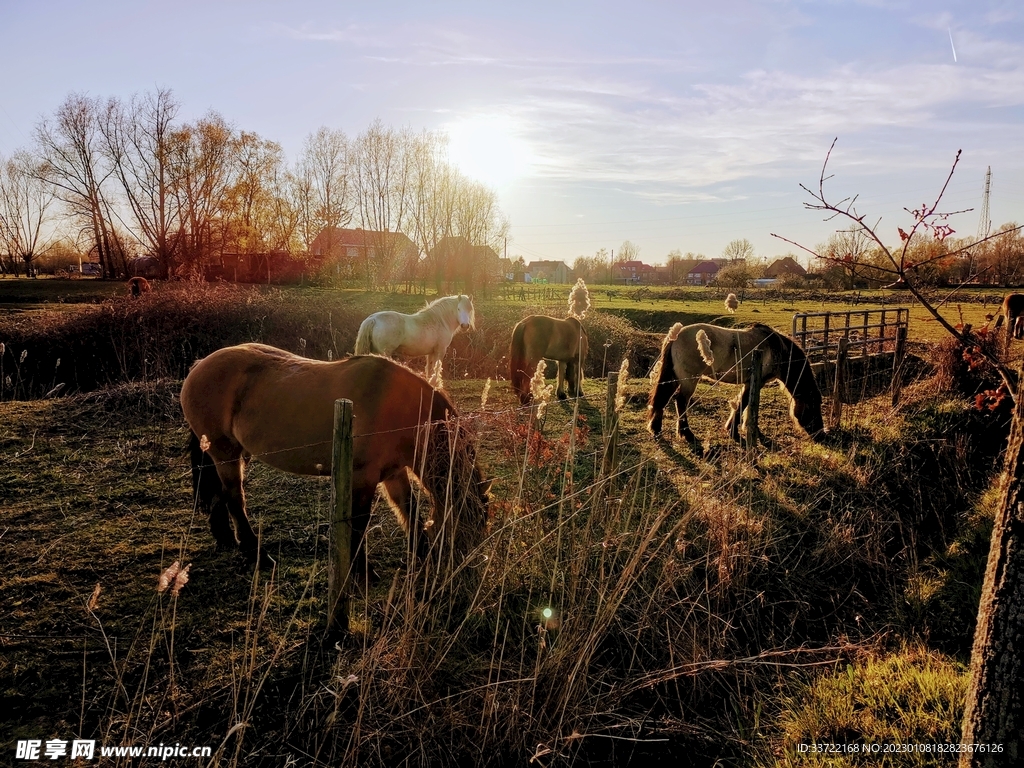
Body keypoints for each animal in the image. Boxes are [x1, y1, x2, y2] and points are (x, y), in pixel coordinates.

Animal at [180, 344, 491, 577]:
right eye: (468, 524)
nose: (466, 570)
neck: (398, 407)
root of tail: (199, 366)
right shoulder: (363, 476)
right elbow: (359, 521)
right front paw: (362, 571)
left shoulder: (394, 473)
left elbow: (410, 511)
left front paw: (424, 554)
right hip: (225, 454)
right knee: (235, 499)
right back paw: (257, 555)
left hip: (227, 455)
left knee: (220, 495)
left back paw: (226, 539)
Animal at [648, 323, 826, 454]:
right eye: (813, 406)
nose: (821, 435)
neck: (779, 349)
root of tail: (676, 335)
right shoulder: (756, 381)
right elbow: (743, 405)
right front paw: (733, 431)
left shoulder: (752, 383)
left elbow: (747, 406)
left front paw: (751, 430)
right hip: (689, 380)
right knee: (680, 401)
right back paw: (687, 434)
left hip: (675, 378)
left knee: (663, 399)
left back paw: (656, 428)